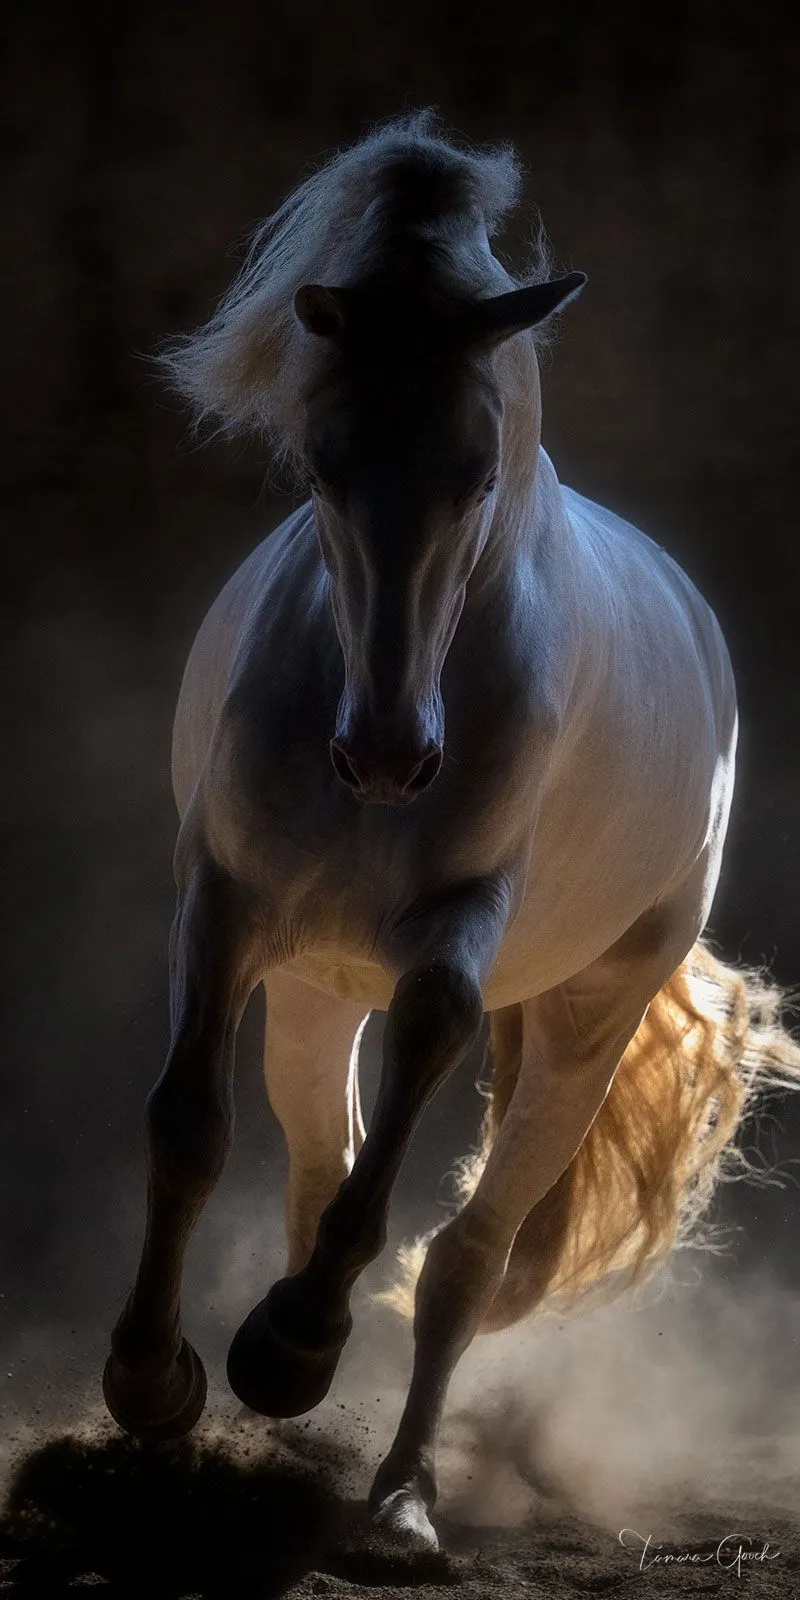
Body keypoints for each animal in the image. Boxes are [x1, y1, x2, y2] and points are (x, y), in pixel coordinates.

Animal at [102, 112, 800, 1550]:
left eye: (477, 473)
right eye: (321, 464)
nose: (385, 756)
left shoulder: (457, 933)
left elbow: (416, 1095)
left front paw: (290, 1349)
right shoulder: (227, 900)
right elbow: (189, 1126)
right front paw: (154, 1378)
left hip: (588, 1013)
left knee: (472, 1256)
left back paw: (404, 1497)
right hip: (317, 985)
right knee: (323, 1153)